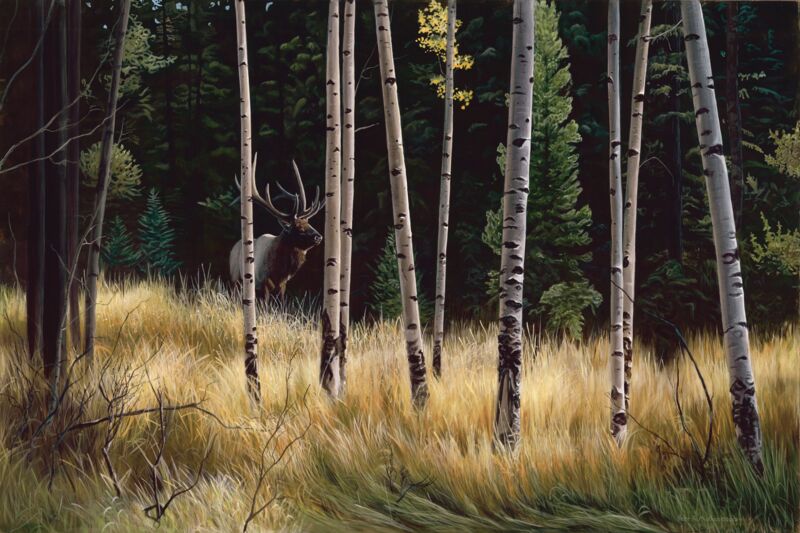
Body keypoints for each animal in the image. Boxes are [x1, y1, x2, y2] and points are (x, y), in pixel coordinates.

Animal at [229, 159, 324, 299]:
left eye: (309, 223)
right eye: (299, 227)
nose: (319, 236)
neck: (278, 271)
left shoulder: (283, 285)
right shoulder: (262, 283)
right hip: (236, 280)